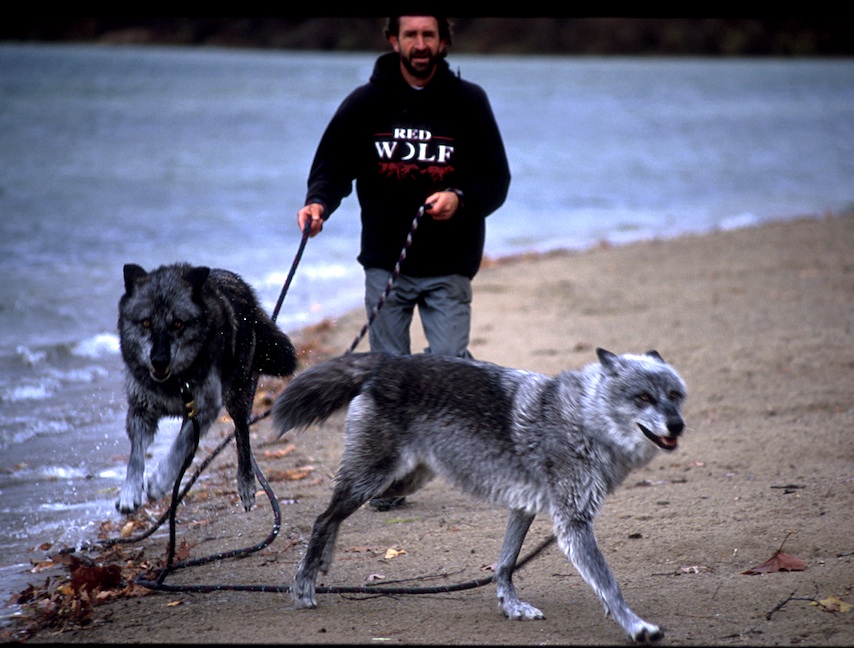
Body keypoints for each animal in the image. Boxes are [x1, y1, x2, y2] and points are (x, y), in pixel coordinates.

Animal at [116, 262, 297, 514]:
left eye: (177, 324)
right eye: (146, 323)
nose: (159, 361)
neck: (174, 381)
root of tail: (240, 283)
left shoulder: (205, 408)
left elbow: (180, 446)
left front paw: (160, 481)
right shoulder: (141, 411)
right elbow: (136, 457)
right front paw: (130, 493)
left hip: (235, 395)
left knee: (242, 435)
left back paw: (246, 483)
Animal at [271, 349, 687, 643]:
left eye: (674, 395)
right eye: (643, 397)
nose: (678, 424)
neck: (583, 418)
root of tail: (389, 361)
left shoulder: (524, 507)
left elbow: (505, 564)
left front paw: (511, 606)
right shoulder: (573, 524)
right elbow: (608, 583)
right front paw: (636, 627)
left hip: (398, 480)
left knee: (332, 516)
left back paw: (323, 562)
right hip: (374, 479)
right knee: (323, 518)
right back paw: (304, 583)